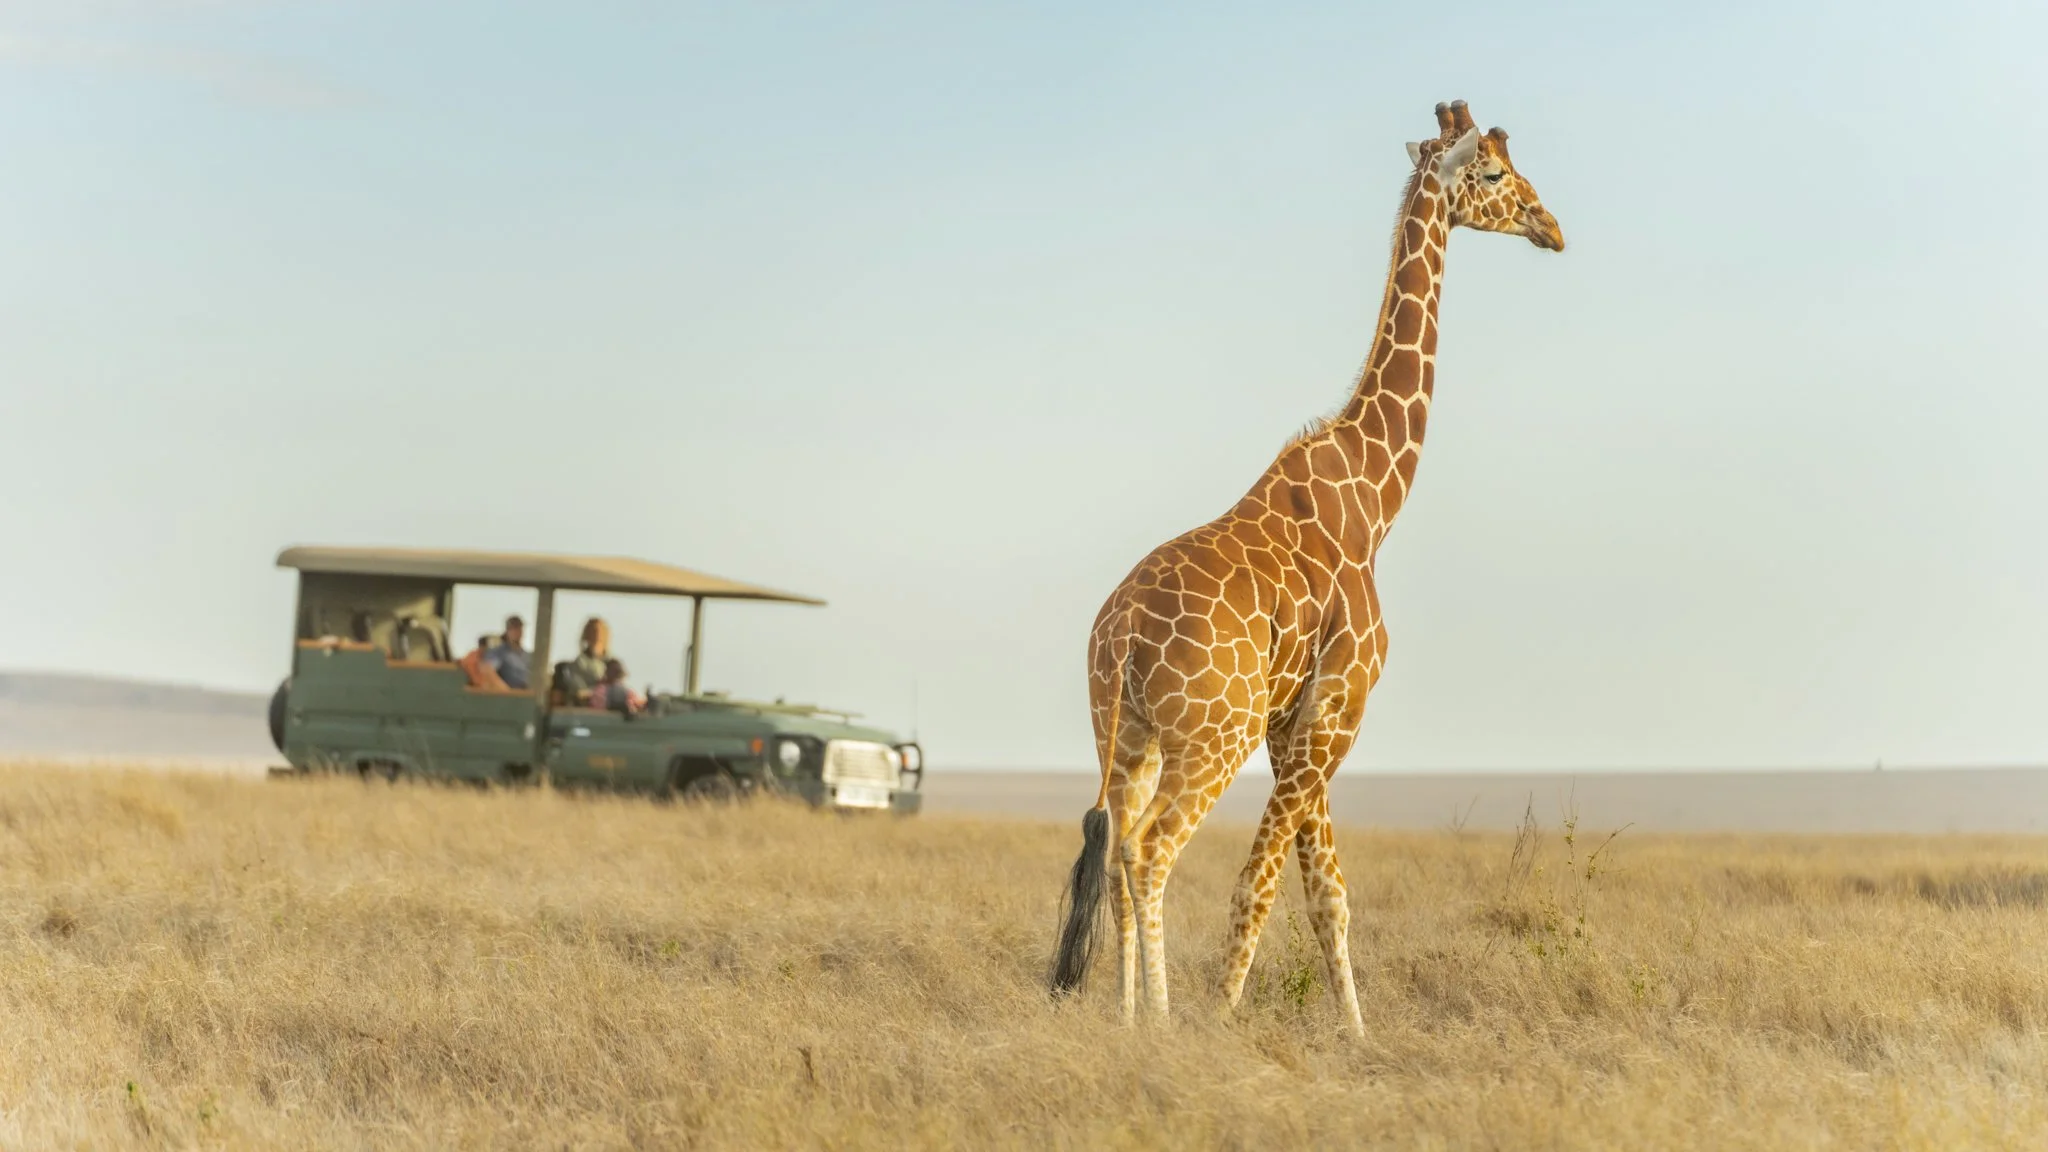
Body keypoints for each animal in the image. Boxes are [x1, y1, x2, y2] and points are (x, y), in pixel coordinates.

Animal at [1049, 100, 1564, 1034]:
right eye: (1495, 173)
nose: (1552, 226)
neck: (1375, 498)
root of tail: (1124, 632)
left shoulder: (1297, 721)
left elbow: (1327, 892)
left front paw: (1356, 1037)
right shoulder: (1338, 705)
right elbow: (1261, 884)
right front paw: (1224, 1023)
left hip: (1125, 733)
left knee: (1113, 846)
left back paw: (1129, 1021)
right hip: (1210, 735)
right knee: (1150, 851)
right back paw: (1167, 1026)